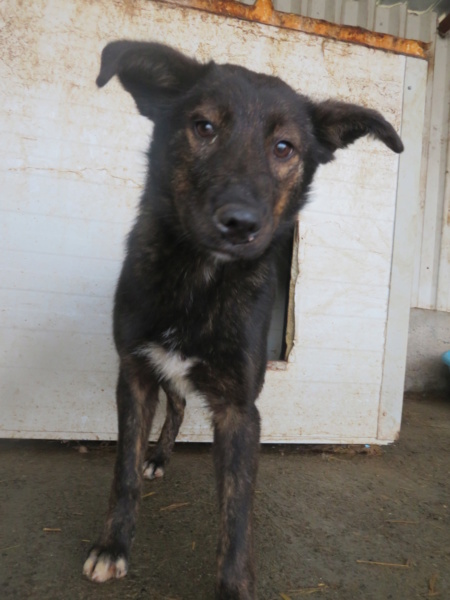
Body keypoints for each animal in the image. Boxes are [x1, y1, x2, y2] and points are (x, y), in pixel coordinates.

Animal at [82, 42, 402, 600]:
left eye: (284, 147)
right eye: (204, 126)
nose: (241, 224)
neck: (201, 279)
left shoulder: (238, 408)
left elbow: (235, 512)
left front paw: (233, 585)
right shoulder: (136, 373)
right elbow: (123, 472)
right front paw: (113, 545)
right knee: (177, 404)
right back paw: (156, 456)